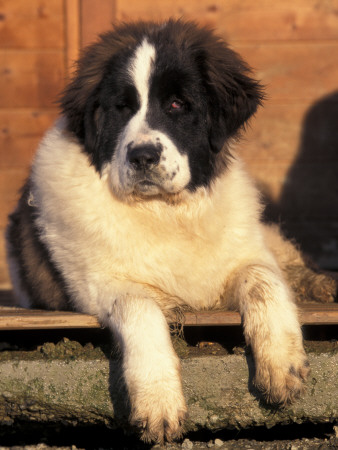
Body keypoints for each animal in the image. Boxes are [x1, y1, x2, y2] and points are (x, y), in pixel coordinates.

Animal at [6, 18, 320, 442]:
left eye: (177, 104)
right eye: (122, 108)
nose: (142, 156)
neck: (166, 213)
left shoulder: (246, 253)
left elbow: (263, 280)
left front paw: (282, 364)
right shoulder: (98, 284)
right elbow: (140, 306)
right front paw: (158, 401)